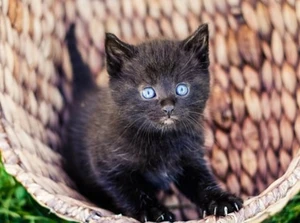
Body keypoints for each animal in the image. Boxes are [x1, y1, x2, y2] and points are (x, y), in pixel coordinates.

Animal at [64, 23, 243, 222]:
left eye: (181, 89)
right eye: (148, 92)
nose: (168, 108)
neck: (161, 138)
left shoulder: (191, 158)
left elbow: (201, 182)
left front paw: (220, 200)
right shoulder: (109, 168)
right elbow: (132, 193)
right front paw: (154, 212)